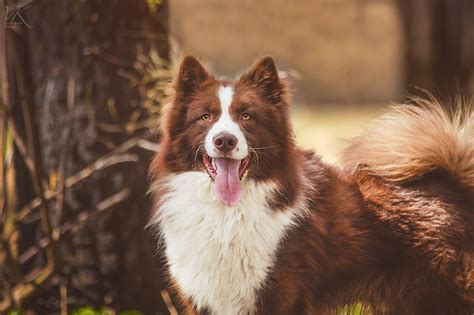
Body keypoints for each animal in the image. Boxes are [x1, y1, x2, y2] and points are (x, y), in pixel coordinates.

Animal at [149, 55, 474, 314]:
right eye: (205, 117)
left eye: (246, 116)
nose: (225, 141)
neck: (227, 214)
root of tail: (452, 186)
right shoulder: (205, 299)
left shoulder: (280, 297)